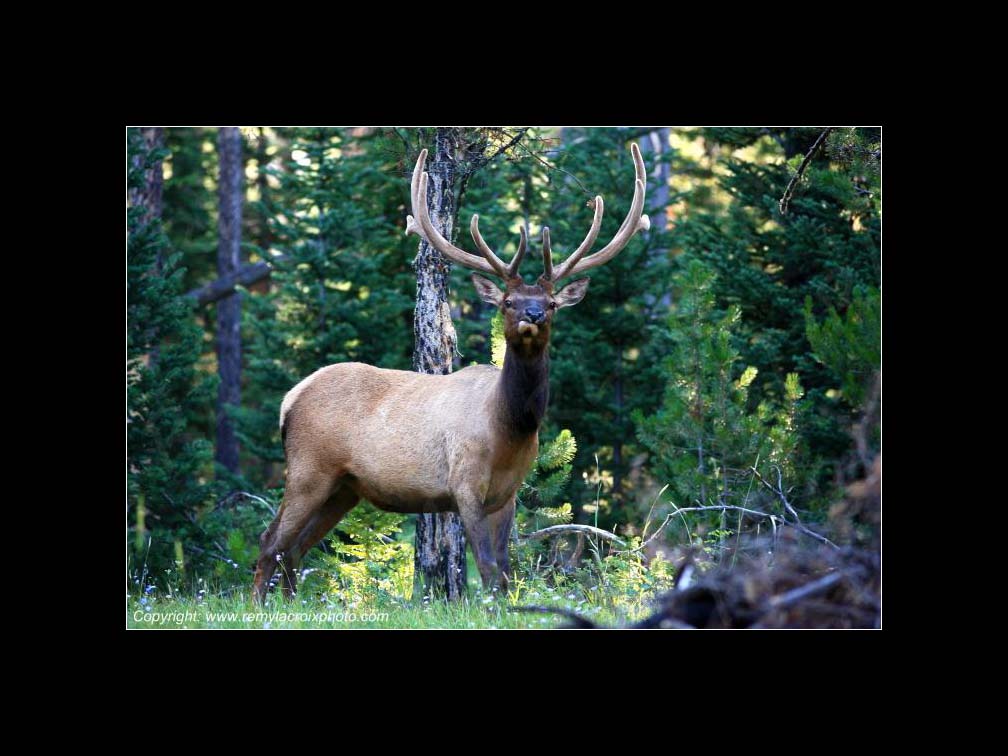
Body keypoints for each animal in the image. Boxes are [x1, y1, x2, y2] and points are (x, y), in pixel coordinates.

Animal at [252, 142, 650, 604]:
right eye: (508, 301)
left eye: (551, 303)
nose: (532, 314)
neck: (510, 428)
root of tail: (290, 398)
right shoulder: (465, 482)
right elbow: (490, 571)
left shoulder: (508, 494)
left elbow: (506, 572)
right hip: (308, 469)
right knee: (270, 542)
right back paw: (259, 605)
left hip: (344, 487)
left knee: (294, 549)